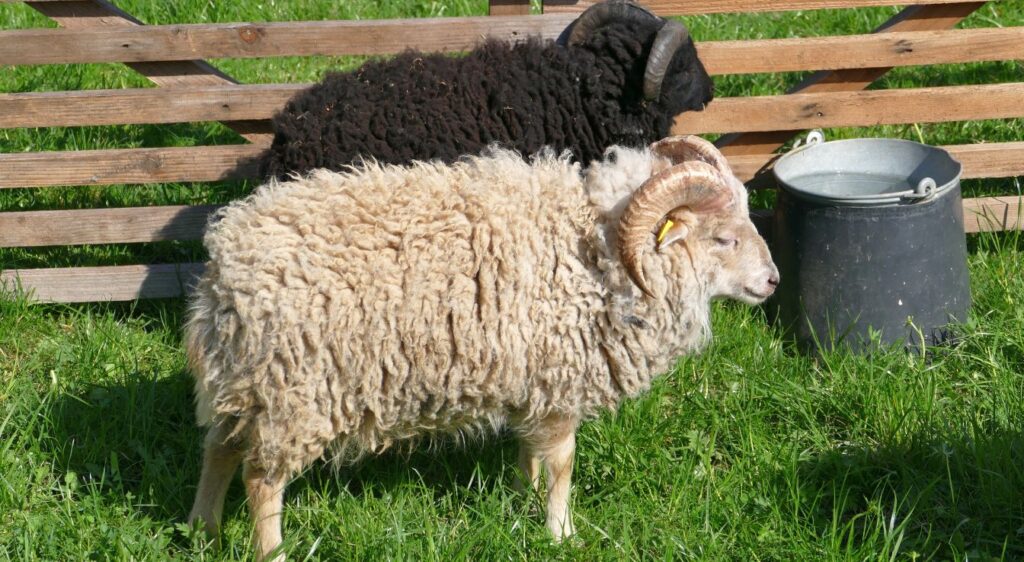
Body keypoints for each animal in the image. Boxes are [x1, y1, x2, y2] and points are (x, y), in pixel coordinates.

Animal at [186, 136, 778, 560]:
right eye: (724, 238)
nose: (773, 282)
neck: (595, 252)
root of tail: (227, 264)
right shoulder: (560, 382)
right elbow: (562, 464)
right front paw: (561, 533)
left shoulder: (534, 381)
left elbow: (530, 454)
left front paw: (521, 501)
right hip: (294, 391)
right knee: (261, 481)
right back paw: (272, 553)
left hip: (244, 381)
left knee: (218, 448)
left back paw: (202, 531)